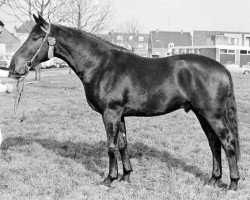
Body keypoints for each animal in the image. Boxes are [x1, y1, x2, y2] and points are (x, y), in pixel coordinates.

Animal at [8, 14, 240, 191]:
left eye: (36, 37)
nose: (13, 66)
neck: (101, 64)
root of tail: (223, 69)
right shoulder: (119, 115)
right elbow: (122, 144)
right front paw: (126, 176)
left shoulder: (110, 113)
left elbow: (110, 146)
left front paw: (109, 179)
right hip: (202, 114)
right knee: (214, 143)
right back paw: (213, 180)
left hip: (212, 114)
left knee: (227, 142)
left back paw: (233, 184)